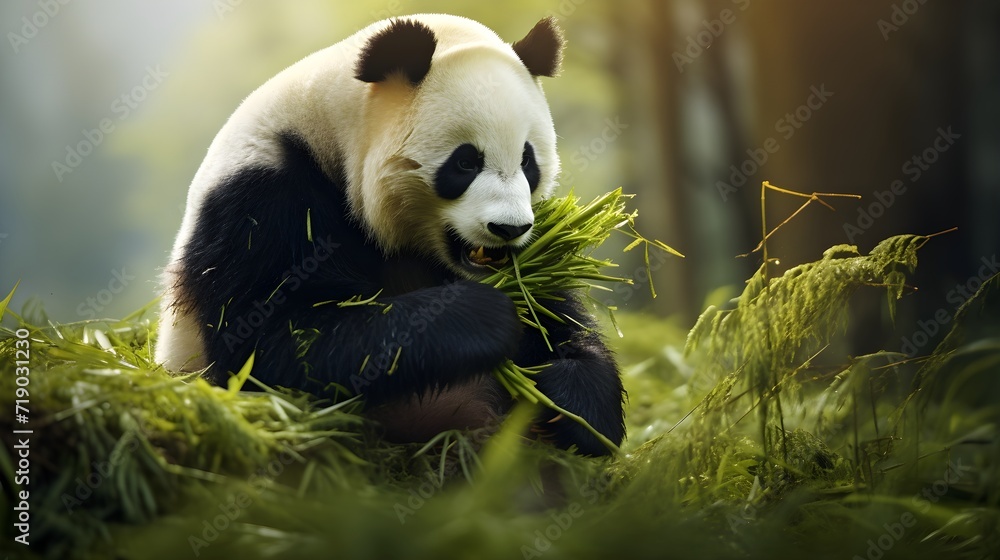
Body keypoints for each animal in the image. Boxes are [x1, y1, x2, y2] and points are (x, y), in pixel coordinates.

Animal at [155, 14, 625, 456]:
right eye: (466, 162)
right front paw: (484, 317)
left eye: (528, 161)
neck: (325, 129)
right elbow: (270, 343)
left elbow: (557, 313)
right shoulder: (259, 200)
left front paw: (569, 399)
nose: (508, 229)